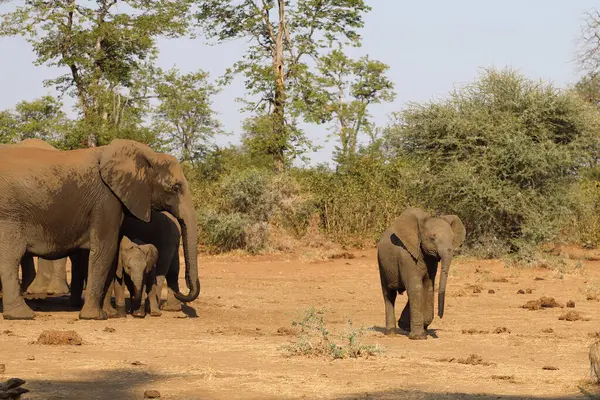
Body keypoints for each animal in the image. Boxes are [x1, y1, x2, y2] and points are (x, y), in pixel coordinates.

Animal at [0, 139, 202, 320]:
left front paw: (108, 314)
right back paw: (22, 315)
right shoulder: (106, 200)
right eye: (175, 187)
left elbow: (111, 253)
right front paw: (94, 317)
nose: (183, 293)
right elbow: (106, 248)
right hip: (10, 214)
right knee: (10, 257)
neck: (148, 155)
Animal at [378, 206, 466, 340]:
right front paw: (419, 337)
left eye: (452, 239)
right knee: (389, 295)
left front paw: (420, 328)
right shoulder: (406, 257)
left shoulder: (431, 261)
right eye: (432, 238)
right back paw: (391, 333)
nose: (440, 316)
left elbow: (428, 287)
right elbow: (416, 287)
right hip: (382, 265)